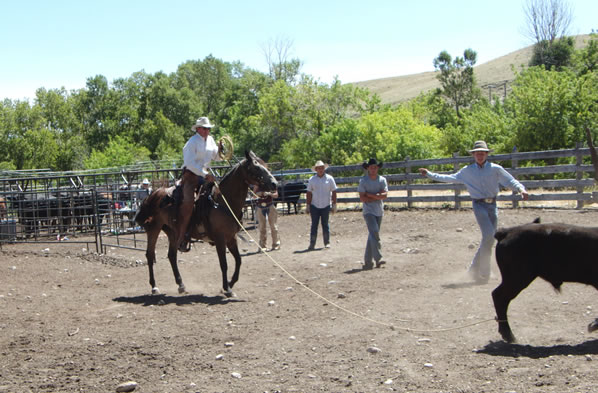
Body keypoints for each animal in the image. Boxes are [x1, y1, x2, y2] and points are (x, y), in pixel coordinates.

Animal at [134, 152, 278, 296]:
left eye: (266, 166)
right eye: (256, 168)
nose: (274, 183)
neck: (222, 202)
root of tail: (153, 194)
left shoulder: (231, 238)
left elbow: (238, 260)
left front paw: (230, 284)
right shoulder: (220, 239)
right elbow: (224, 264)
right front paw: (227, 289)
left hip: (173, 232)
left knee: (171, 255)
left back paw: (181, 285)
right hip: (154, 228)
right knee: (150, 255)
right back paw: (154, 287)